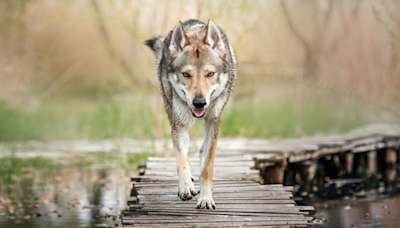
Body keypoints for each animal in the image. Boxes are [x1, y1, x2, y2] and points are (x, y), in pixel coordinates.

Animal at [145, 19, 236, 208]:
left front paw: (206, 199)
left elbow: (208, 166)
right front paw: (186, 187)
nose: (199, 102)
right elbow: (182, 160)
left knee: (202, 151)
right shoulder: (179, 125)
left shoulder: (214, 121)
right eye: (186, 74)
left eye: (210, 74)